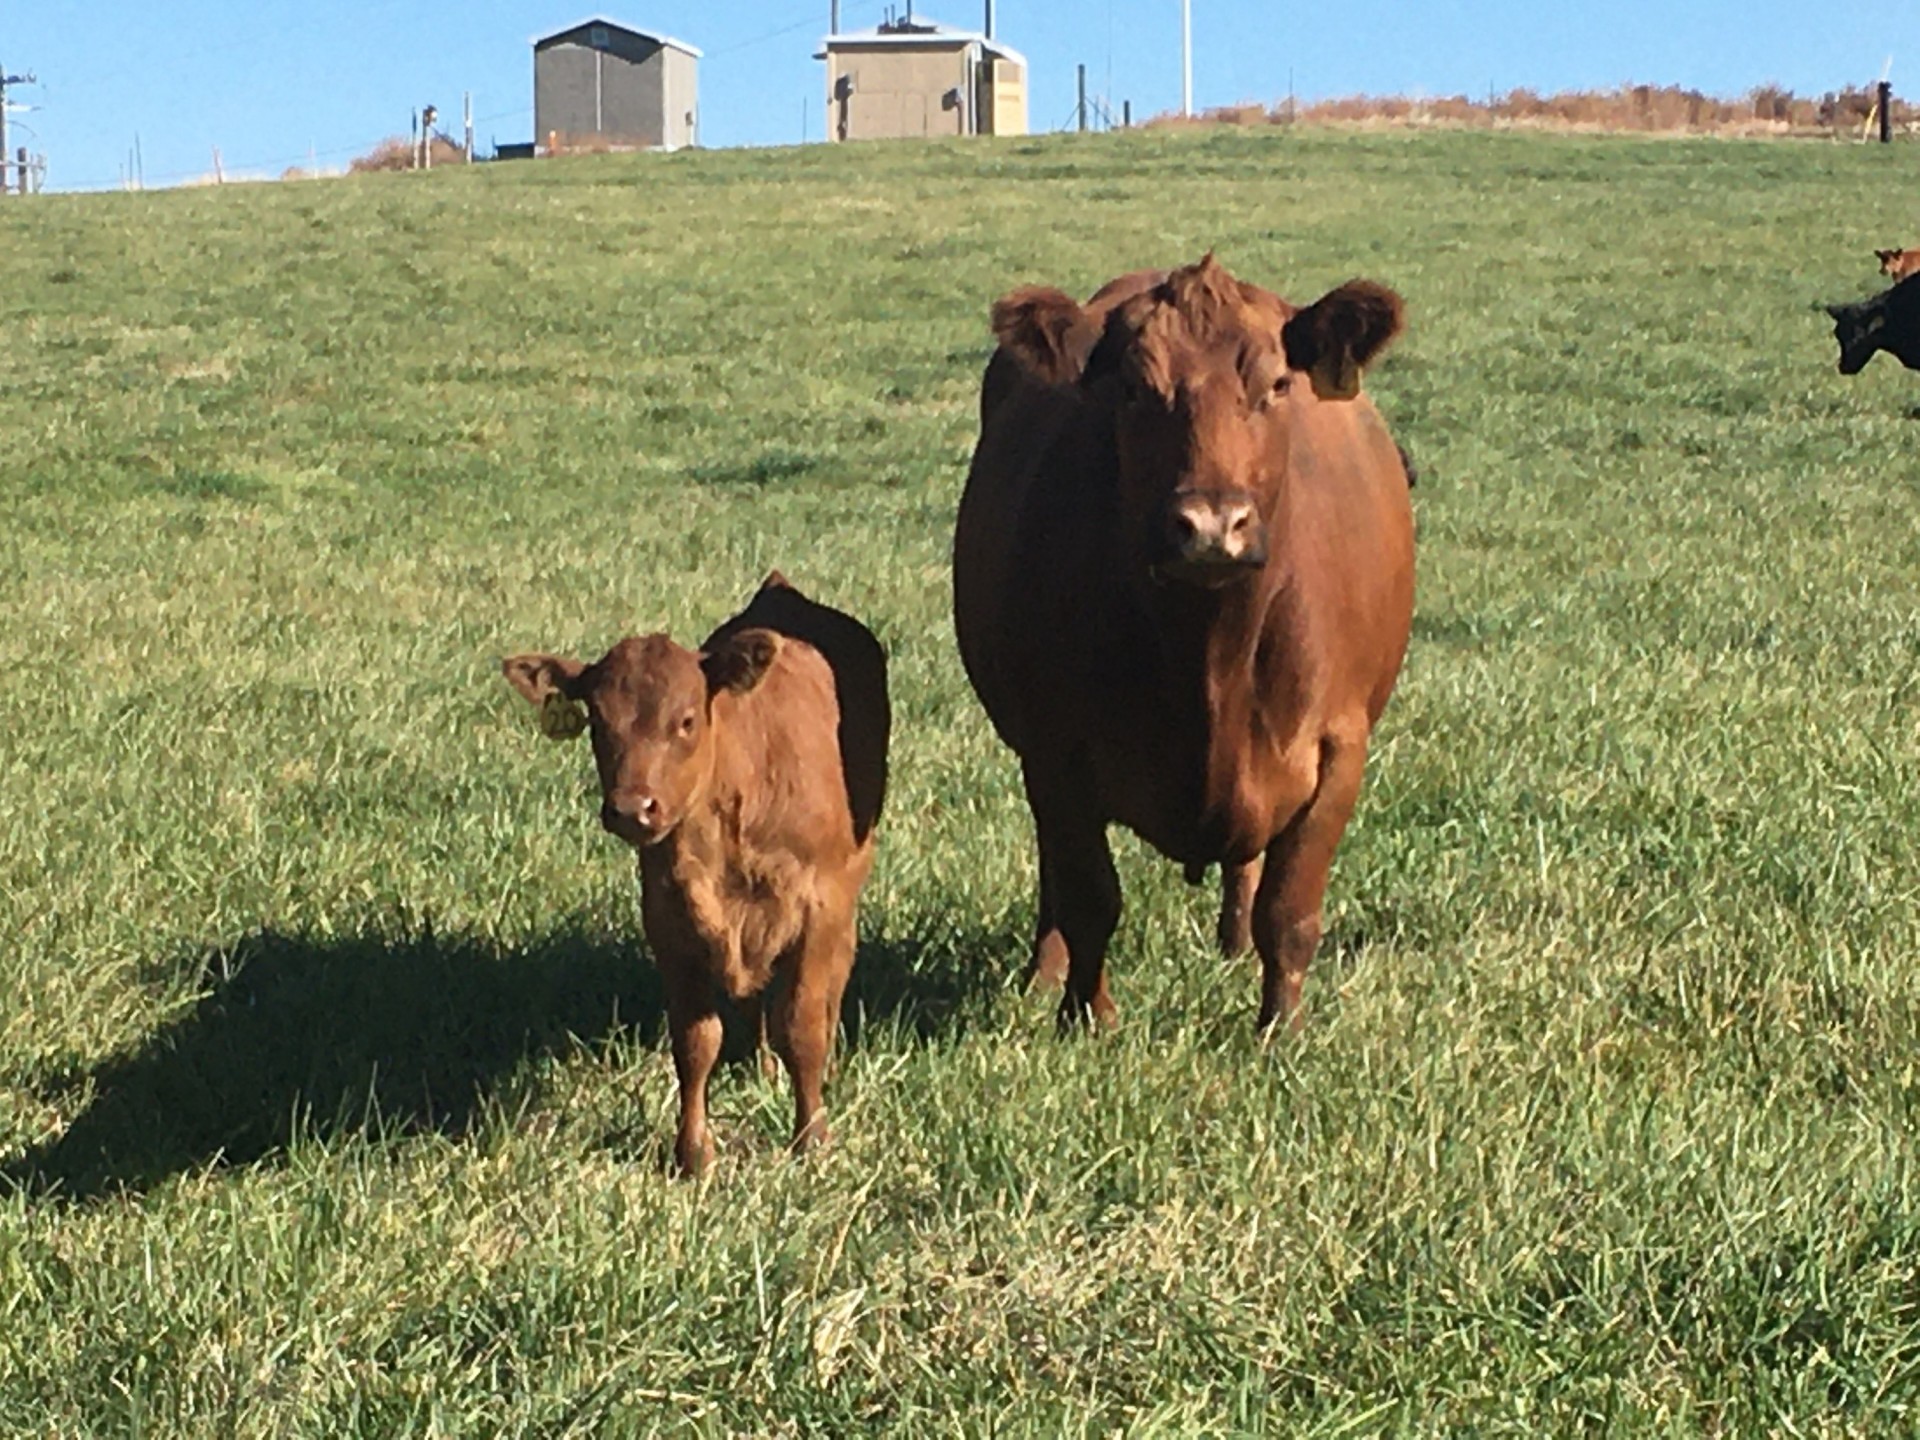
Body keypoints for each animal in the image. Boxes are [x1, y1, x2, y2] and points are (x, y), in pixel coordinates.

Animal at [495, 568, 883, 1175]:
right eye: (597, 723)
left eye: (686, 720)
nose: (632, 809)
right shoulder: (668, 914)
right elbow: (696, 1040)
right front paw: (693, 1153)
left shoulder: (818, 904)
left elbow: (802, 1026)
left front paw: (811, 1139)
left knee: (833, 981)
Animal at [956, 253, 1420, 1029]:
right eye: (1135, 391)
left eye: (1276, 385)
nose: (1210, 526)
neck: (1209, 652)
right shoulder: (1054, 751)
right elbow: (1089, 895)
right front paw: (1087, 1018)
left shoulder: (1339, 748)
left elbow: (1290, 910)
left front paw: (1280, 1030)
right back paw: (1043, 974)